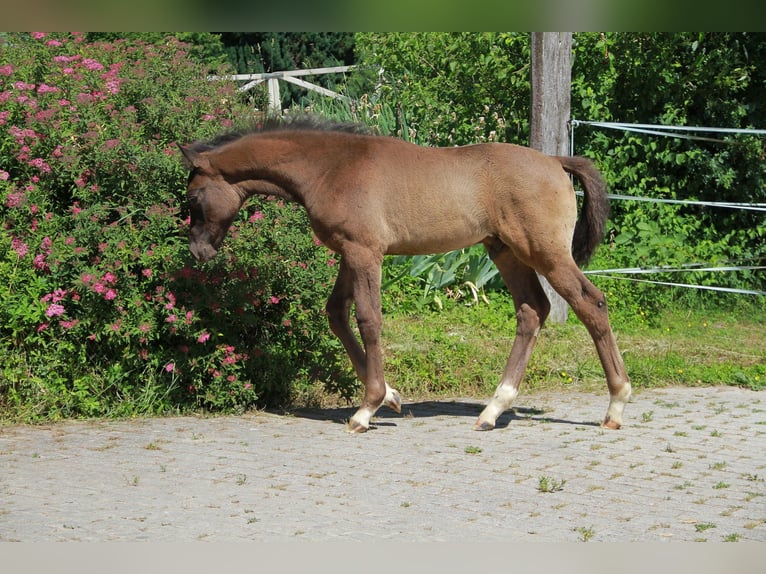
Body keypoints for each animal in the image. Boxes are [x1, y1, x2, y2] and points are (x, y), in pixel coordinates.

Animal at [178, 117, 631, 434]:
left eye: (194, 197)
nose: (198, 251)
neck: (332, 167)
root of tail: (556, 160)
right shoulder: (351, 253)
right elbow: (337, 314)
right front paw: (392, 397)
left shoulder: (365, 253)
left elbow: (368, 319)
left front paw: (367, 409)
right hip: (505, 250)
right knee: (532, 310)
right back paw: (493, 409)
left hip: (545, 252)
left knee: (590, 302)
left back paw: (616, 404)